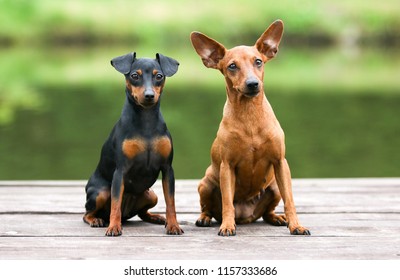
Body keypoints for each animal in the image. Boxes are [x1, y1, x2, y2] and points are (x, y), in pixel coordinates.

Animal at [85, 52, 185, 236]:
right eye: (134, 76)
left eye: (159, 76)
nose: (149, 95)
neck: (146, 121)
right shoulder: (120, 171)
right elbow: (115, 204)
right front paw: (113, 227)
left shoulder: (168, 169)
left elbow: (171, 202)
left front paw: (173, 225)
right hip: (100, 192)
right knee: (88, 212)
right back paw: (97, 220)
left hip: (151, 194)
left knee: (142, 213)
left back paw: (157, 217)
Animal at [190, 19, 310, 236]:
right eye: (232, 66)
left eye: (258, 62)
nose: (253, 84)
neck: (250, 116)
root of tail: (245, 216)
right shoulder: (227, 167)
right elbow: (227, 203)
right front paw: (227, 226)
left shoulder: (281, 162)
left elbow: (290, 201)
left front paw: (296, 225)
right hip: (205, 184)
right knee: (209, 208)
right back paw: (205, 218)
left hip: (274, 187)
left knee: (268, 211)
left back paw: (277, 218)